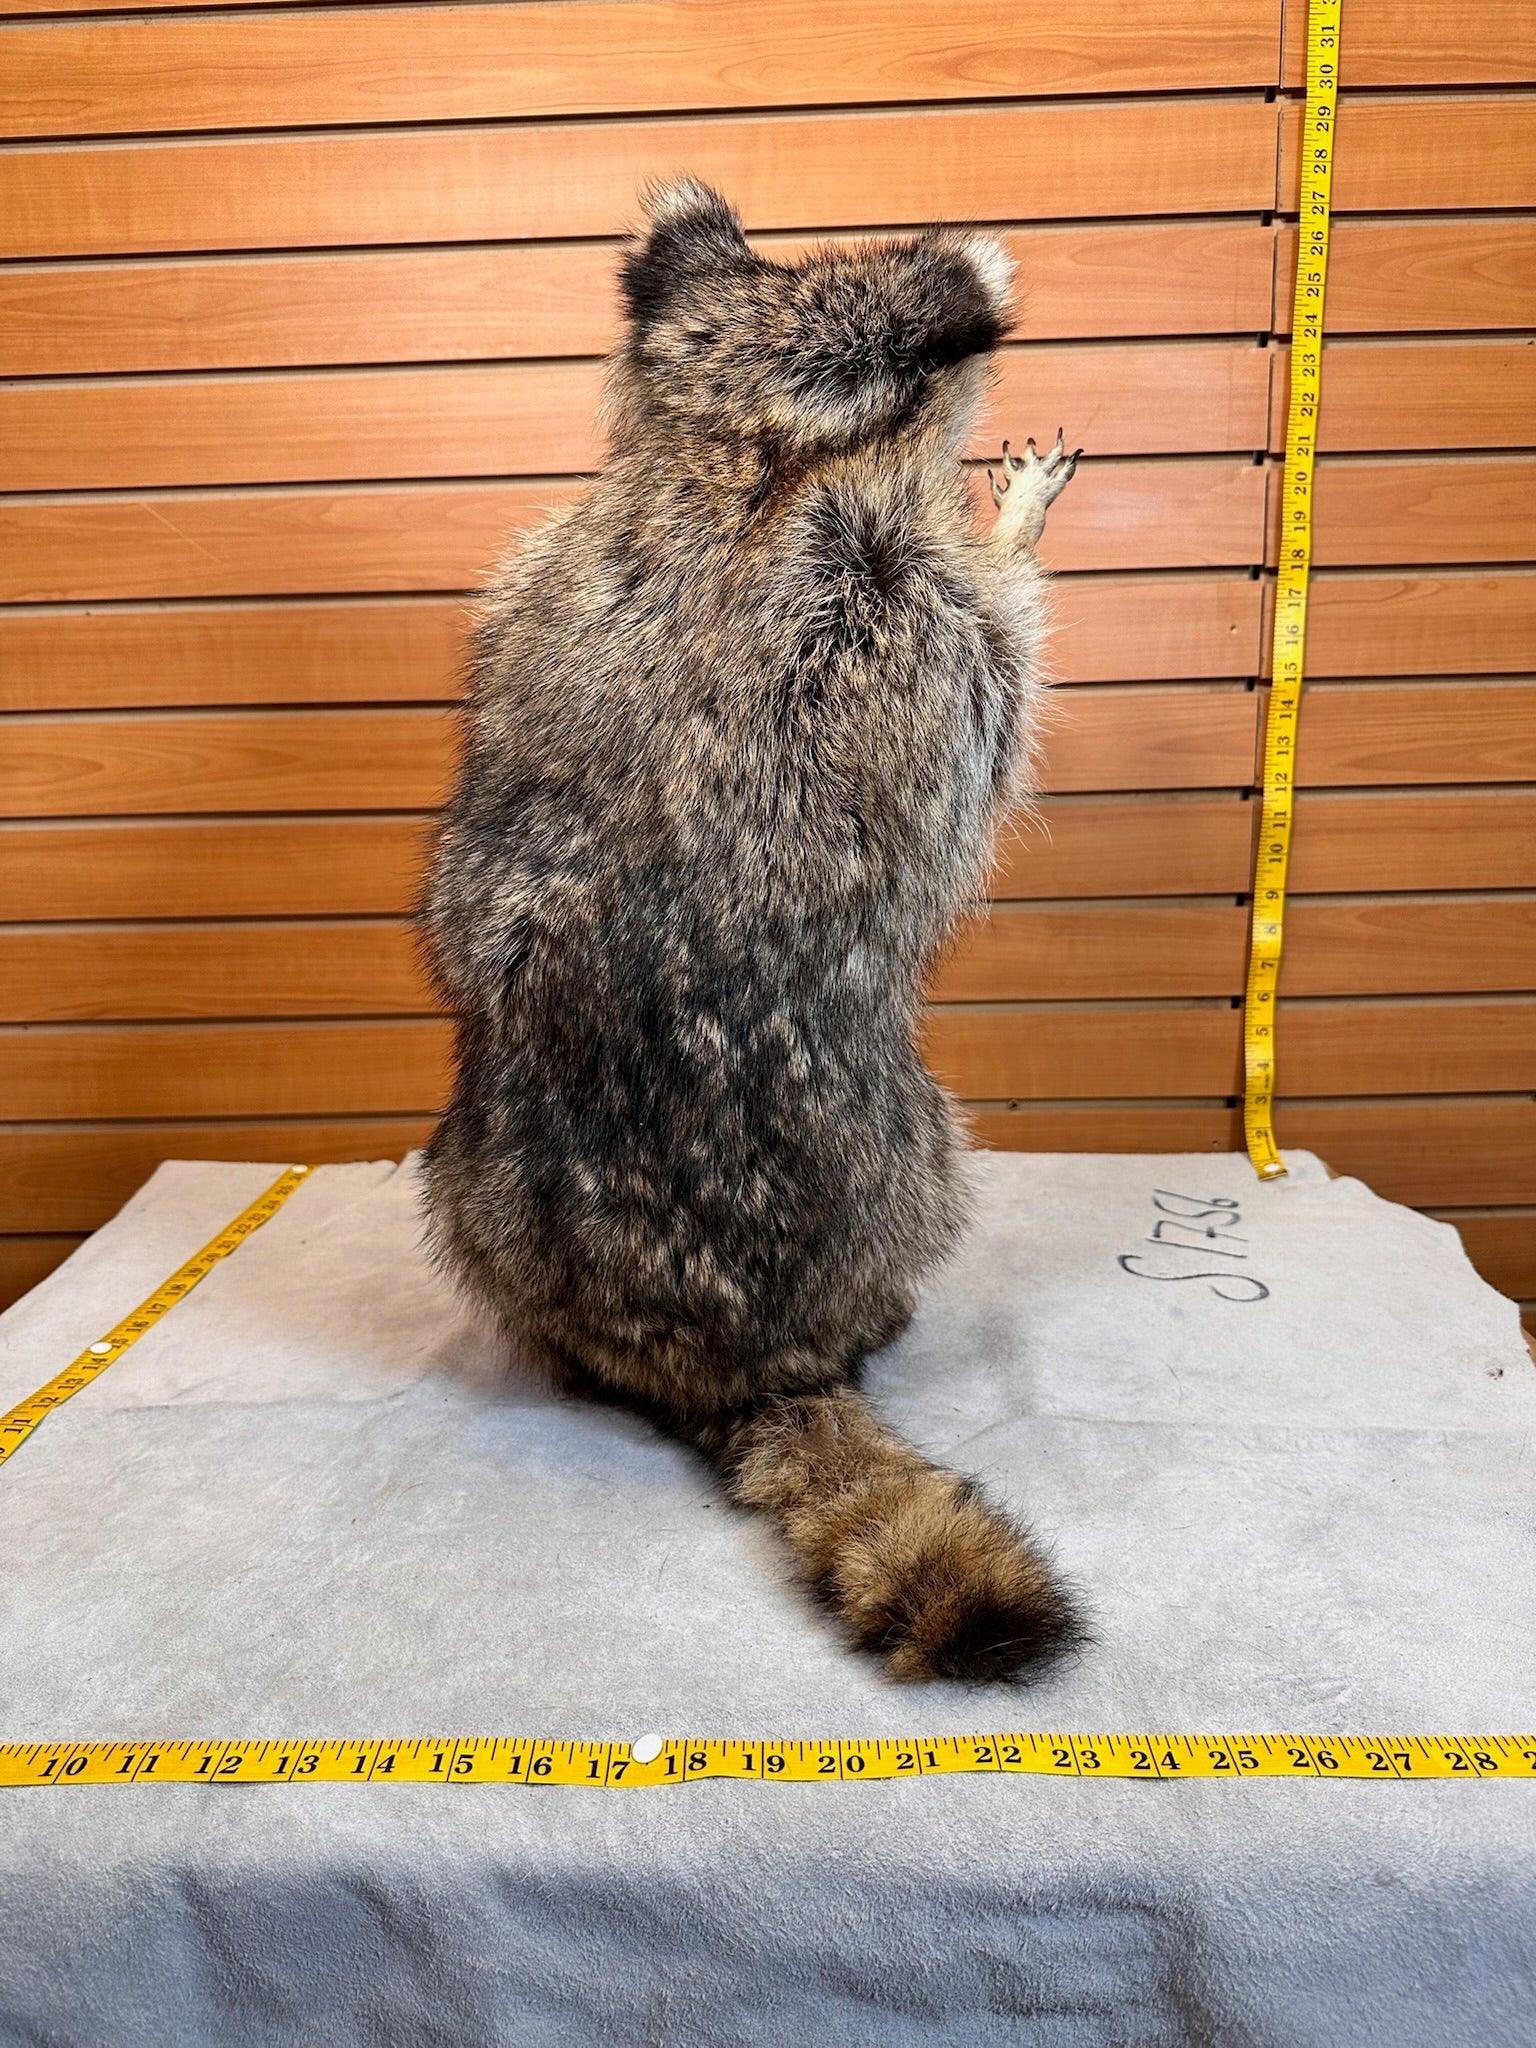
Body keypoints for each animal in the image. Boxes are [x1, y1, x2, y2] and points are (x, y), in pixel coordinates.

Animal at [422, 179, 1083, 1682]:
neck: (737, 459)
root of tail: (727, 1358)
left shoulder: (541, 569)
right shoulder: (901, 611)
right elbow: (1000, 684)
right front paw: (1016, 525)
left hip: (483, 1189)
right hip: (909, 1162)